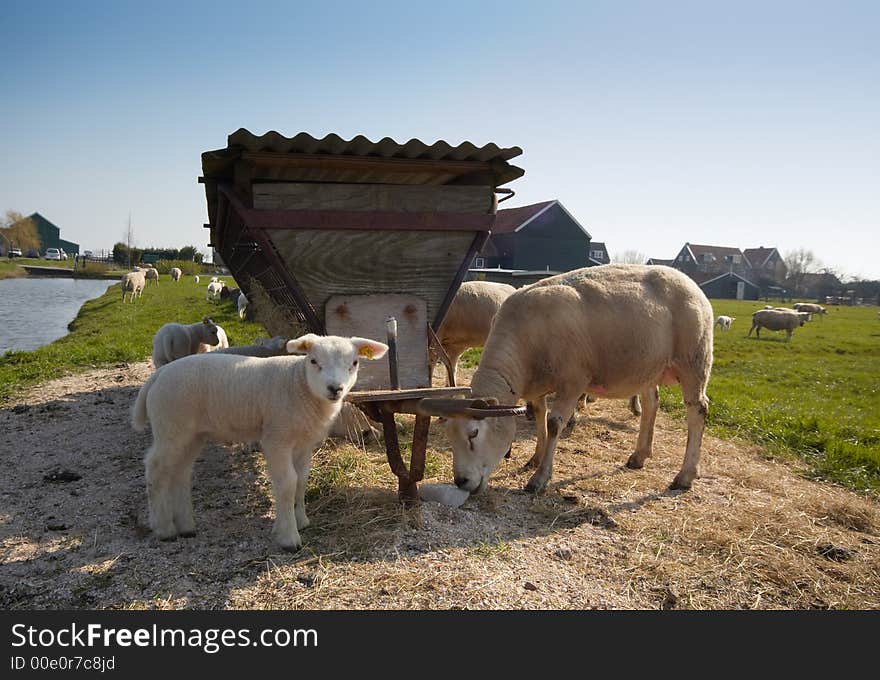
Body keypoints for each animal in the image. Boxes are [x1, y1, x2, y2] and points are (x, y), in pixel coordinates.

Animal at [131, 334, 388, 552]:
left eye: (354, 363)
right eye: (313, 361)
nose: (335, 388)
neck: (298, 383)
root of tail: (158, 376)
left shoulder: (303, 443)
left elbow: (301, 479)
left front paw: (300, 520)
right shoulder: (276, 439)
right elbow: (287, 482)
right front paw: (289, 536)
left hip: (191, 434)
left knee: (180, 473)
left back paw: (186, 526)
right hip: (170, 427)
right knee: (155, 470)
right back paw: (164, 528)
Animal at [444, 264, 712, 494]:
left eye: (474, 434)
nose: (461, 481)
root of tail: (689, 281)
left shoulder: (572, 381)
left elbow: (553, 424)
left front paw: (539, 478)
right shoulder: (538, 385)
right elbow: (539, 417)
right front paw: (535, 458)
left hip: (694, 360)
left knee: (697, 410)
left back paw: (685, 476)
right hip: (647, 367)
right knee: (651, 404)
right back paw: (639, 456)